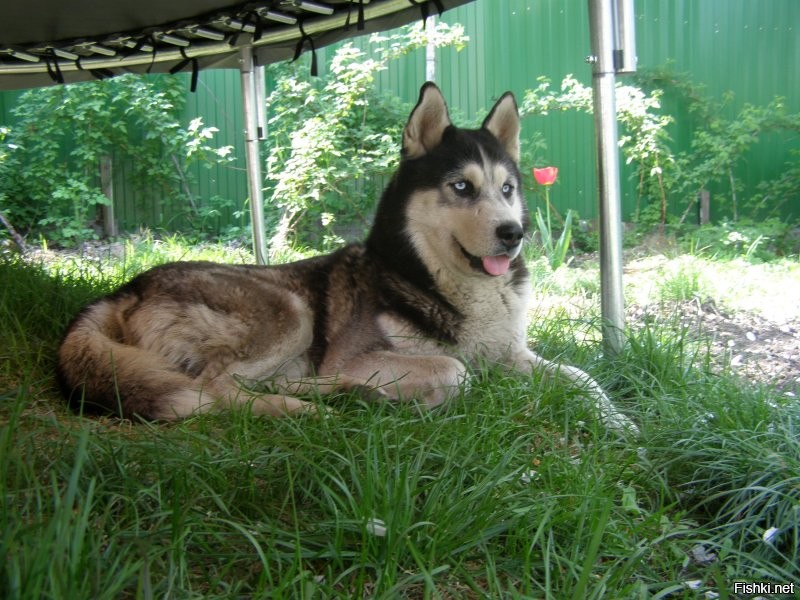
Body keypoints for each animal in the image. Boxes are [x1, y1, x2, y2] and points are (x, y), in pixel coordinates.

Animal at [57, 82, 636, 434]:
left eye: (508, 188)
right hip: (287, 310)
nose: (514, 234)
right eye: (462, 187)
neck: (445, 285)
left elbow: (582, 376)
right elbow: (455, 369)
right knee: (216, 387)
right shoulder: (364, 355)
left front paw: (620, 422)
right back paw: (309, 404)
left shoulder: (514, 356)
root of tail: (123, 290)